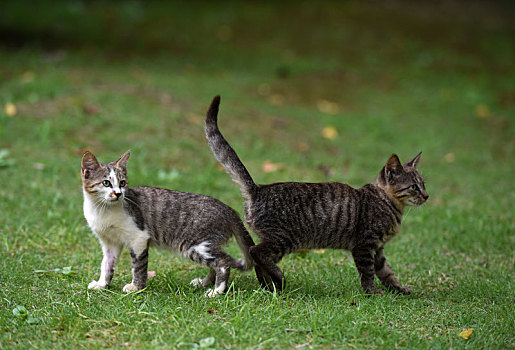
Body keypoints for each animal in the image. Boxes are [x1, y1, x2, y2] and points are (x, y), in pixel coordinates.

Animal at [81, 150, 256, 296]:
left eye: (122, 183)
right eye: (106, 183)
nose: (118, 194)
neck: (102, 211)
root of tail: (227, 209)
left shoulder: (139, 237)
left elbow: (138, 266)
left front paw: (136, 287)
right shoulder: (110, 242)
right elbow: (106, 265)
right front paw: (102, 284)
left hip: (197, 245)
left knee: (223, 261)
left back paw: (217, 290)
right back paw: (204, 283)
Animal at [204, 94, 430, 294]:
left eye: (423, 184)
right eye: (413, 187)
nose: (426, 196)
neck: (390, 204)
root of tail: (256, 189)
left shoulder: (379, 249)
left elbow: (387, 272)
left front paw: (398, 289)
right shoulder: (365, 245)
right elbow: (368, 273)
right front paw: (372, 292)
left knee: (258, 261)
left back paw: (270, 286)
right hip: (284, 239)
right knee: (255, 252)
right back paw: (278, 278)